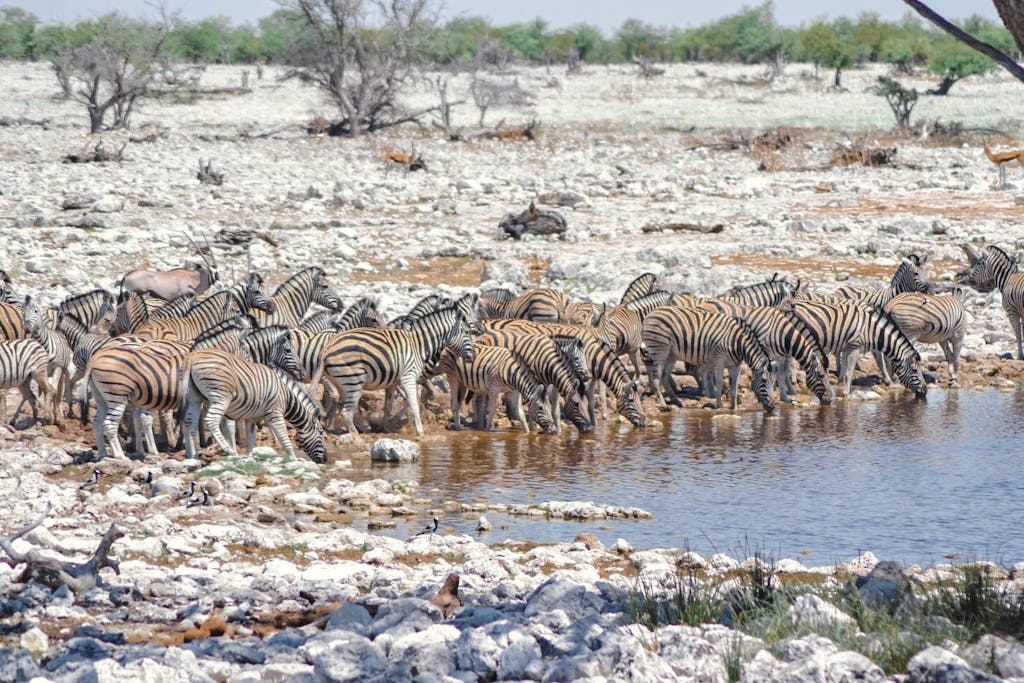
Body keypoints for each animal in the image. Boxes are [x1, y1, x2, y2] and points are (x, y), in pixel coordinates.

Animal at [182, 348, 326, 462]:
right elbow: (284, 437)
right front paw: (293, 458)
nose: (325, 460)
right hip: (221, 396)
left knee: (190, 424)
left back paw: (193, 457)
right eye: (320, 433)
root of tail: (193, 355)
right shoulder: (275, 412)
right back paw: (229, 450)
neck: (286, 396)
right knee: (211, 419)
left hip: (195, 399)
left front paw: (249, 458)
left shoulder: (252, 417)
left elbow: (251, 439)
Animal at [319, 307, 475, 436]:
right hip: (353, 381)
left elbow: (390, 407)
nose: (472, 357)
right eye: (466, 332)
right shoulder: (409, 377)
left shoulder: (394, 382)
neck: (418, 345)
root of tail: (327, 347)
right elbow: (414, 403)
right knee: (346, 412)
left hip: (341, 382)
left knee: (341, 406)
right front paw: (420, 431)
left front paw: (387, 428)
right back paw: (356, 436)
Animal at [641, 306, 776, 413]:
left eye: (774, 383)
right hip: (659, 350)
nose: (773, 406)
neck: (739, 344)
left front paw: (734, 409)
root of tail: (650, 313)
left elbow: (734, 387)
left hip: (671, 354)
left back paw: (677, 401)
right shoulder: (719, 360)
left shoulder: (735, 365)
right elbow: (720, 384)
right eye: (764, 380)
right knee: (656, 377)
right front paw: (719, 406)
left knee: (664, 376)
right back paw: (664, 405)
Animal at [790, 300, 927, 397]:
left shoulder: (846, 348)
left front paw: (840, 387)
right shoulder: (854, 348)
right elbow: (850, 372)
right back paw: (793, 386)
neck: (871, 330)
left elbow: (843, 371)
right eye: (914, 370)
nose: (925, 391)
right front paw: (846, 394)